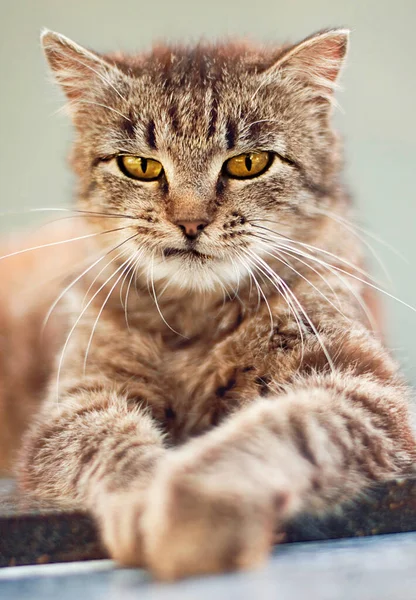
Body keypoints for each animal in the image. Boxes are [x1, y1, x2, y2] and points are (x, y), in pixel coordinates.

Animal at [4, 29, 416, 580]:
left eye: (248, 163)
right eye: (140, 165)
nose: (190, 222)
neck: (194, 320)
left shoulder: (360, 386)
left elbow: (277, 430)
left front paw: (195, 511)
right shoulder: (74, 404)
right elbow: (109, 441)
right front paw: (143, 497)